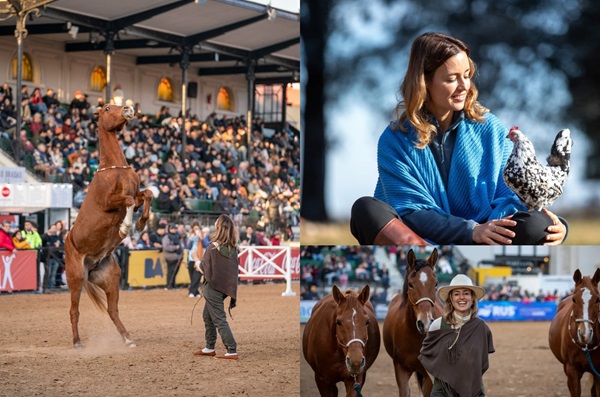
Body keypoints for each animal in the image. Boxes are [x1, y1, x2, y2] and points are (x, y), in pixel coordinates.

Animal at [62, 104, 152, 346]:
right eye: (107, 108)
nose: (128, 108)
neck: (115, 168)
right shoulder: (109, 201)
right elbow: (128, 201)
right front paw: (125, 227)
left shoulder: (137, 195)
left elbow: (147, 194)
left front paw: (141, 224)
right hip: (75, 278)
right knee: (73, 311)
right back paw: (77, 342)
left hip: (111, 278)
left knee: (113, 310)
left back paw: (128, 339)